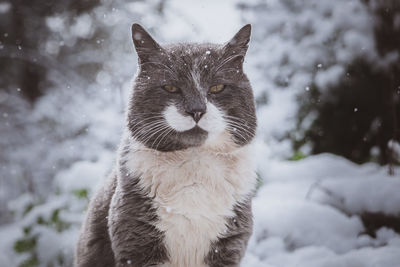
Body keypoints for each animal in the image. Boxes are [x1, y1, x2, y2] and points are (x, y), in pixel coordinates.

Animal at [74, 23, 256, 267]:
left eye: (217, 87)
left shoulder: (230, 244)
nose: (196, 109)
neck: (194, 164)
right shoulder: (135, 240)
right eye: (170, 87)